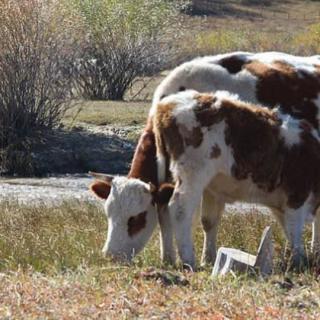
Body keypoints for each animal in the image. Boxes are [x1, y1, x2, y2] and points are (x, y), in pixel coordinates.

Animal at [152, 90, 320, 270]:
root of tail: (167, 104)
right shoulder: (296, 195)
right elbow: (295, 231)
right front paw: (299, 262)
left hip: (173, 177)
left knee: (163, 208)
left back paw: (168, 258)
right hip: (193, 174)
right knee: (179, 210)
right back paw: (188, 260)